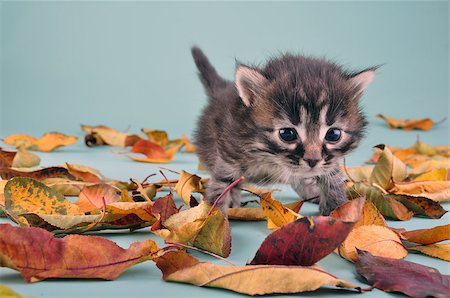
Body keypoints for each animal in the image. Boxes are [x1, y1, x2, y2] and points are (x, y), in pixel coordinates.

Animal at [192, 46, 374, 214]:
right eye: (287, 134)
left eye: (333, 134)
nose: (313, 160)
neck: (270, 158)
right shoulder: (228, 151)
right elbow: (221, 185)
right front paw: (213, 220)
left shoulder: (328, 162)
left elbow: (332, 177)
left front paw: (339, 210)